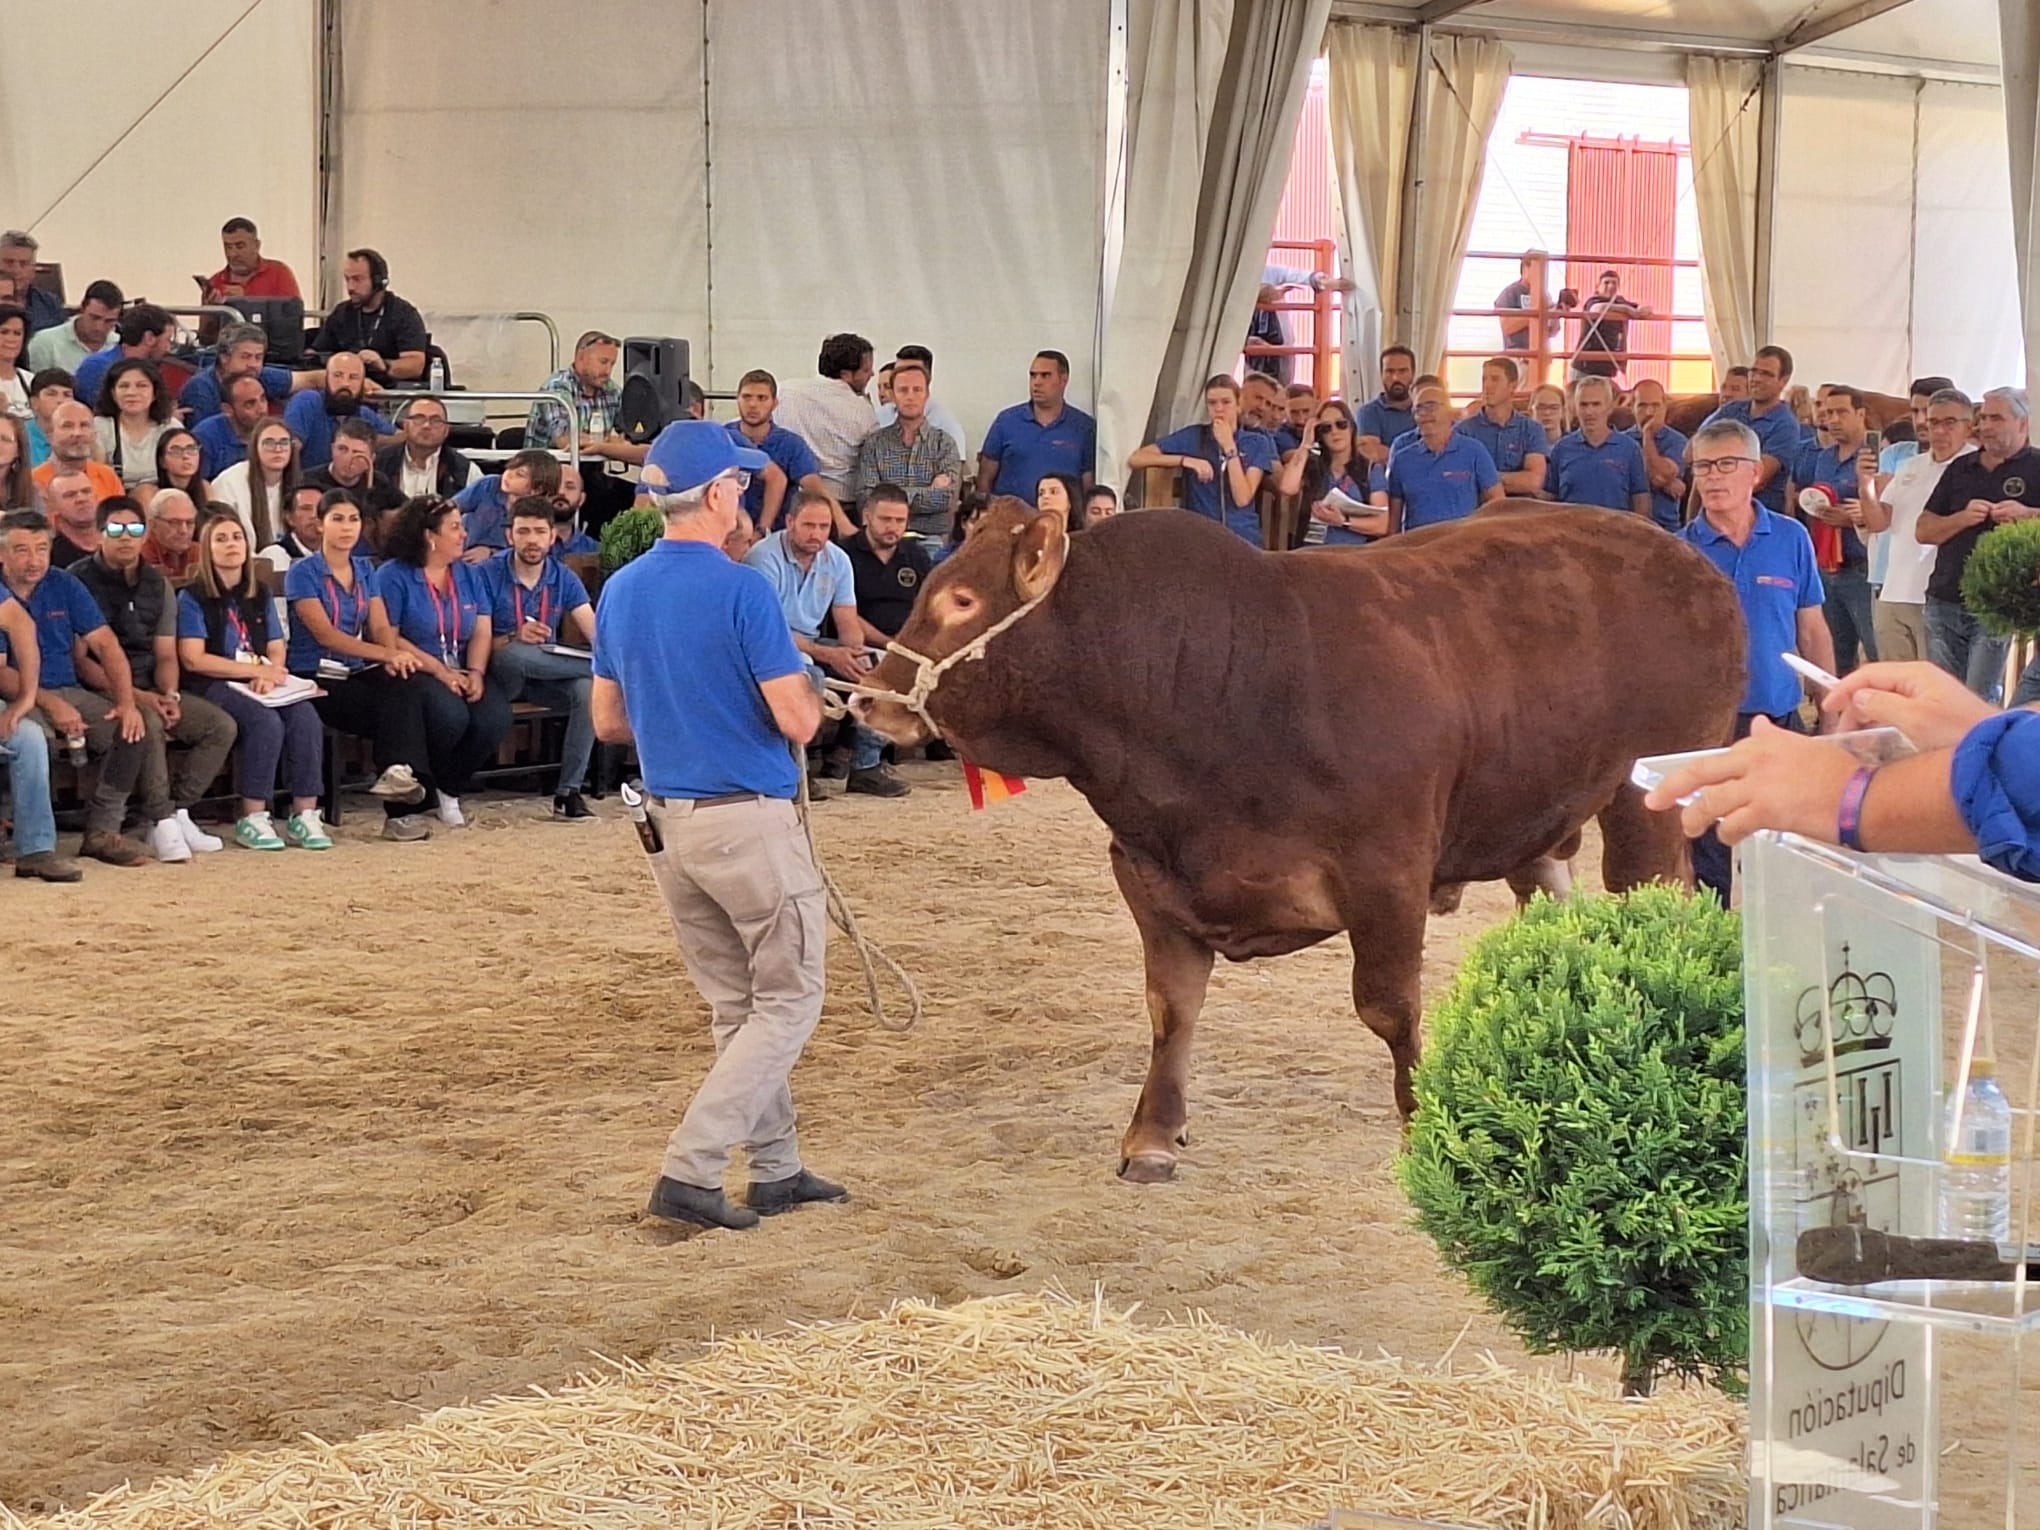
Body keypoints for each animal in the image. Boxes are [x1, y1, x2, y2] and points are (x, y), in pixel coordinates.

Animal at [852, 503, 1746, 1183]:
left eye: (962, 600)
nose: (870, 701)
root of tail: (1690, 562)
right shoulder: (1147, 873)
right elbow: (1171, 1006)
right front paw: (1153, 1134)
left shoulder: (1388, 871)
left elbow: (1388, 1006)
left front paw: (1420, 1123)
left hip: (1647, 800)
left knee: (1656, 896)